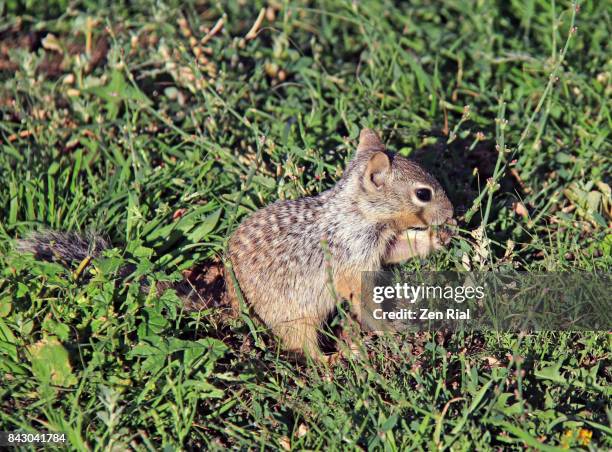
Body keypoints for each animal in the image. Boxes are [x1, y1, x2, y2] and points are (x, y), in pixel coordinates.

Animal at [226, 128, 454, 360]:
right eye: (423, 194)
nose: (451, 212)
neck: (358, 213)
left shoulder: (379, 246)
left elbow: (400, 248)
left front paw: (439, 237)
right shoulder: (352, 262)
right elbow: (365, 301)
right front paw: (389, 331)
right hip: (295, 318)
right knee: (306, 350)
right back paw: (340, 357)